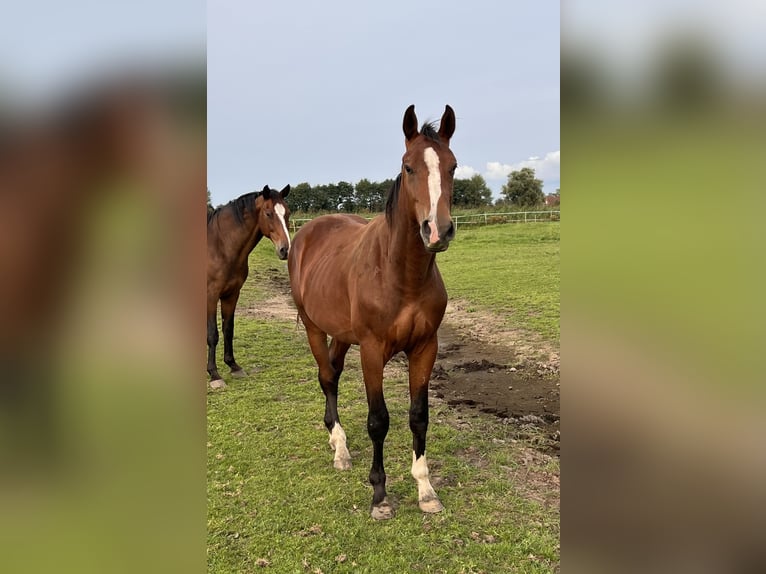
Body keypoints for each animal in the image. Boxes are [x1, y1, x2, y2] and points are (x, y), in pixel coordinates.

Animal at [207, 187, 292, 390]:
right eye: (268, 213)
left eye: (287, 213)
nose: (285, 250)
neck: (220, 246)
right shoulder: (211, 295)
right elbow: (213, 334)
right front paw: (214, 375)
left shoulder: (232, 294)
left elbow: (228, 329)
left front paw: (233, 366)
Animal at [288, 104, 456, 520]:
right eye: (409, 167)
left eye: (453, 166)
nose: (437, 230)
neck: (401, 276)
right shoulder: (372, 350)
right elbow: (379, 420)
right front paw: (379, 495)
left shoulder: (425, 347)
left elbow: (419, 416)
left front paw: (426, 491)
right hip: (315, 328)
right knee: (326, 378)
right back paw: (340, 449)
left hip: (342, 336)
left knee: (332, 373)